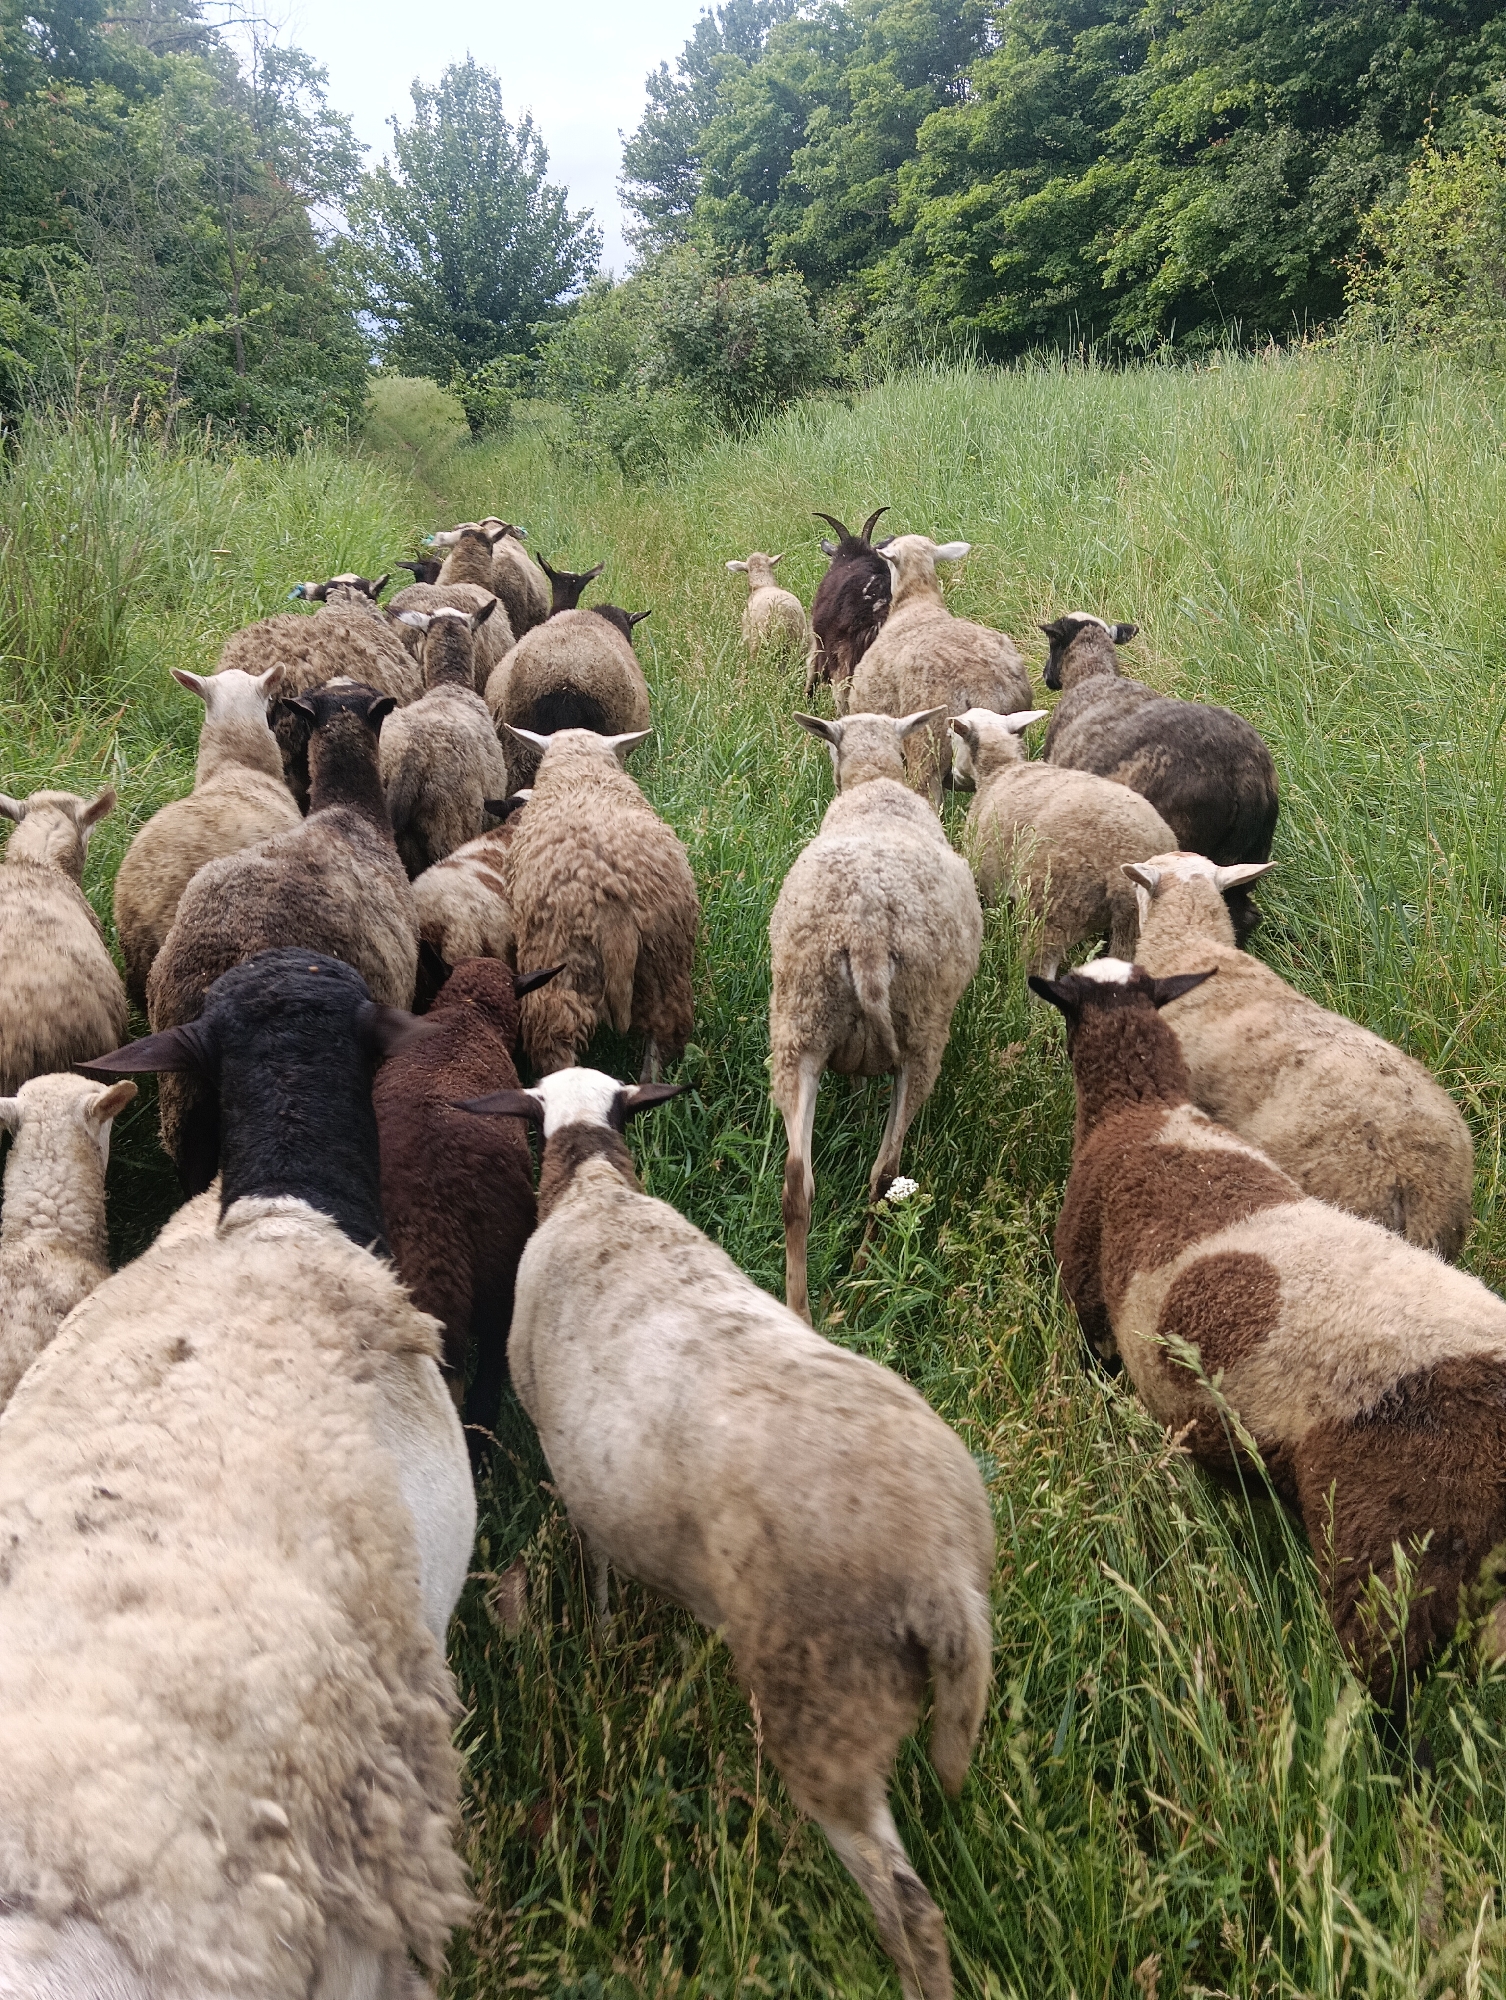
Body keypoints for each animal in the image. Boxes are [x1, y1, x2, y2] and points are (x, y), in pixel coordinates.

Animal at [460, 1066, 994, 2000]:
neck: (594, 1190)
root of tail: (942, 1578)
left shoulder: (581, 1486)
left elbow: (598, 1574)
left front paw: (602, 1640)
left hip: (824, 1718)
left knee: (908, 1906)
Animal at [504, 727, 698, 1079]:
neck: (582, 774)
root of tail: (612, 897)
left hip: (558, 969)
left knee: (555, 1043)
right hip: (665, 962)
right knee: (664, 1036)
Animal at [771, 710, 983, 1321]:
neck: (876, 787)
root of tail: (864, 932)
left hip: (799, 1024)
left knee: (797, 1184)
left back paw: (802, 1308)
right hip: (920, 1038)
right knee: (885, 1174)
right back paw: (863, 1281)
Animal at [948, 706, 1178, 978]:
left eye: (951, 737)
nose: (953, 776)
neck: (999, 769)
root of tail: (1122, 860)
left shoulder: (988, 878)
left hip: (1054, 907)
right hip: (1136, 926)